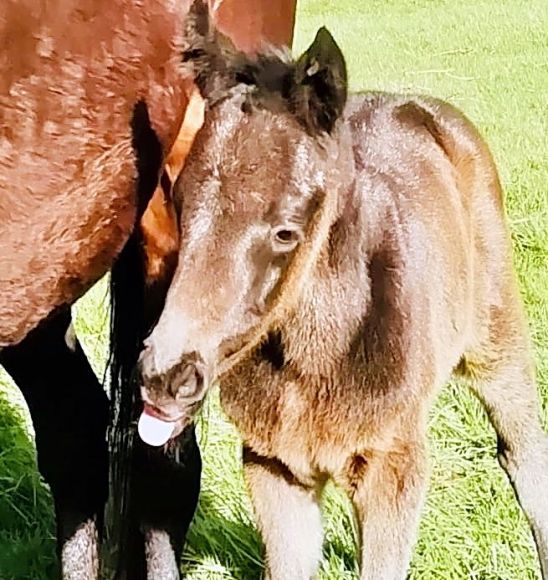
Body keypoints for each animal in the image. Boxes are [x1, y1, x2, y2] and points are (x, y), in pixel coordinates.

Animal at [138, 5, 548, 580]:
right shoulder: (273, 466)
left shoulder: (393, 466)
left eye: (286, 231)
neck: (313, 361)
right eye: (177, 200)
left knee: (525, 456)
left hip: (498, 339)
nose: (166, 376)